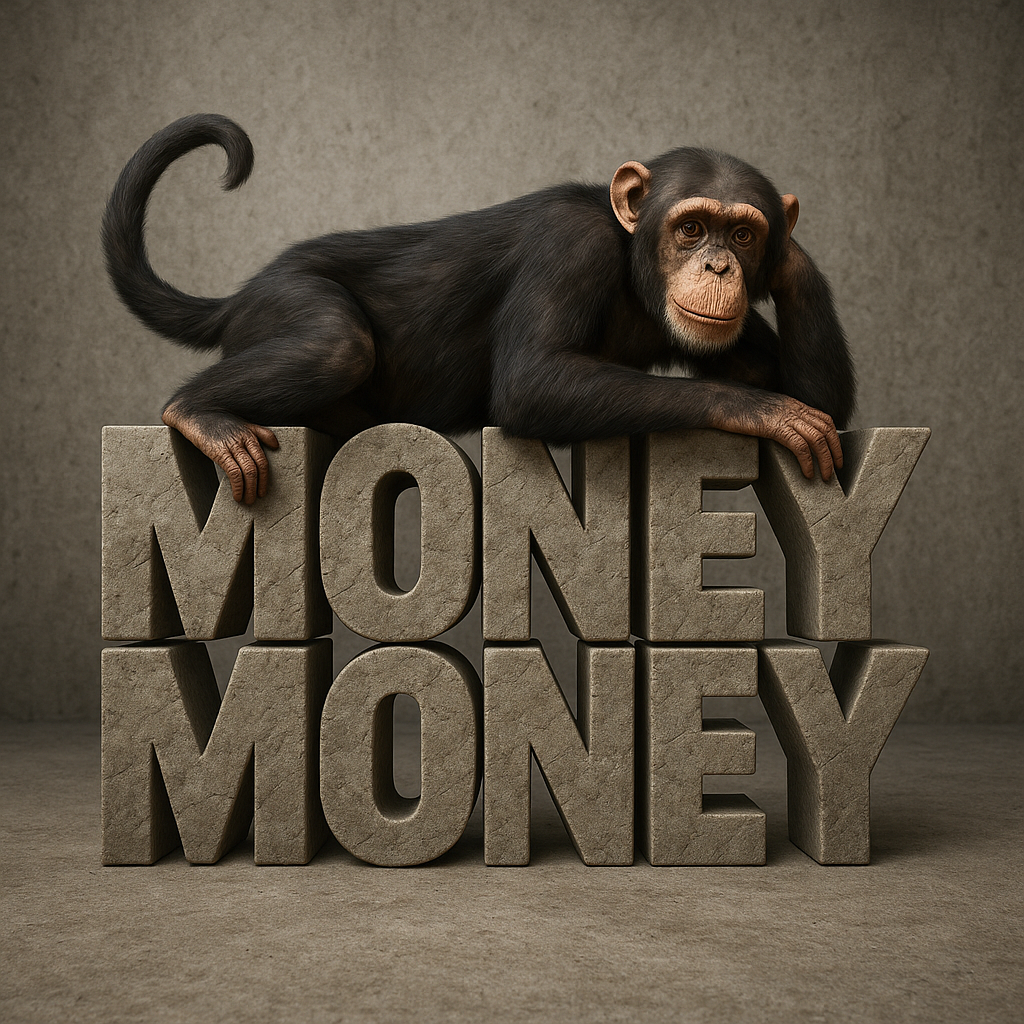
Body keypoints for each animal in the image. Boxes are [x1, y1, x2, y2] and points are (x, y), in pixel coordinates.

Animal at [103, 114, 854, 504]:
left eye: (744, 234)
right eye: (692, 228)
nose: (719, 265)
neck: (628, 254)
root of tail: (238, 296)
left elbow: (820, 397)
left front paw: (793, 262)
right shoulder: (568, 246)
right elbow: (531, 382)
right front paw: (763, 412)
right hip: (282, 300)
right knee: (336, 343)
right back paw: (200, 413)